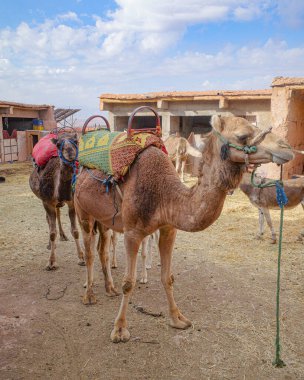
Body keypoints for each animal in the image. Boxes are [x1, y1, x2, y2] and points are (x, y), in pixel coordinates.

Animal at [29, 132, 83, 268]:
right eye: (58, 144)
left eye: (76, 141)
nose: (70, 152)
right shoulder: (47, 202)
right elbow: (52, 233)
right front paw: (51, 262)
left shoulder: (71, 202)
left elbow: (75, 231)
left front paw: (81, 258)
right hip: (43, 200)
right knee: (48, 220)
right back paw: (50, 244)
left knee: (57, 214)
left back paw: (63, 236)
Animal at [72, 114, 294, 342]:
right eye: (242, 135)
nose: (286, 148)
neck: (165, 194)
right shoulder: (132, 232)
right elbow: (129, 282)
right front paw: (119, 329)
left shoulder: (169, 229)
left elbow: (167, 277)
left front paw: (178, 319)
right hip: (82, 211)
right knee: (89, 252)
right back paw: (89, 295)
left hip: (104, 220)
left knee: (103, 250)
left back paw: (110, 289)